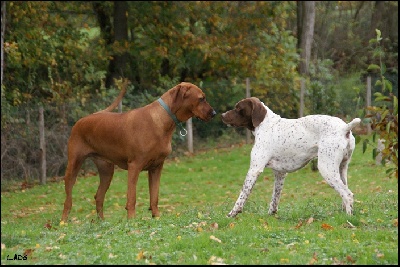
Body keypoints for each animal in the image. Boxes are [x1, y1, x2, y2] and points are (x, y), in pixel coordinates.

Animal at [61, 81, 216, 222]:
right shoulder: (134, 166)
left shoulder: (156, 167)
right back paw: (63, 222)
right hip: (73, 165)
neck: (162, 121)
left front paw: (156, 217)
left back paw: (101, 222)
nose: (214, 113)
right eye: (201, 98)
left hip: (106, 170)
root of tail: (84, 119)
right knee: (68, 200)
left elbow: (154, 196)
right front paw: (132, 220)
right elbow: (132, 197)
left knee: (98, 196)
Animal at [220, 97, 360, 217]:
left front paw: (232, 213)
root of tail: (344, 128)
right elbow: (275, 198)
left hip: (326, 168)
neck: (265, 124)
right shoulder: (280, 173)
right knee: (345, 193)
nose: (222, 115)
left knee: (347, 194)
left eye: (238, 108)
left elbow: (242, 195)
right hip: (341, 169)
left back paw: (348, 218)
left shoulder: (255, 169)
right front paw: (271, 215)